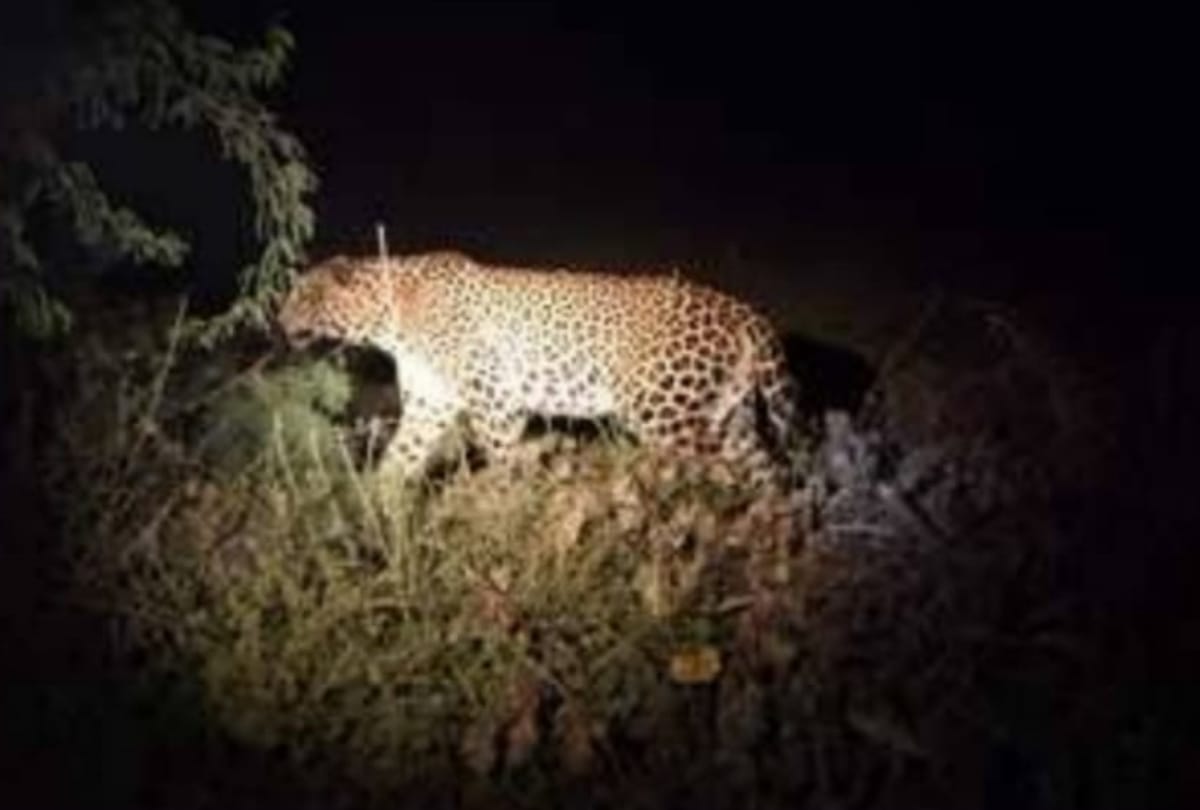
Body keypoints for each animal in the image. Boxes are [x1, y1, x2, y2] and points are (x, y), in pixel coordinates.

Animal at [276, 250, 801, 488]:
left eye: (305, 296)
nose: (278, 320)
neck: (390, 317)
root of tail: (743, 311)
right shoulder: (431, 402)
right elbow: (398, 459)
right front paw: (375, 515)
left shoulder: (494, 398)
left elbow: (504, 459)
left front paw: (512, 516)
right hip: (729, 415)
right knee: (767, 478)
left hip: (662, 410)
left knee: (727, 472)